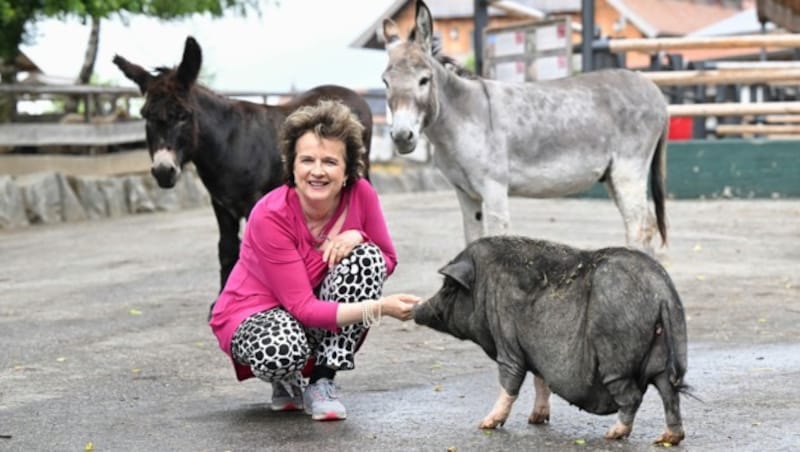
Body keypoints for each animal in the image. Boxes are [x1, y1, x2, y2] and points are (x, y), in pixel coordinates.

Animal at [412, 237, 688, 444]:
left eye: (448, 287)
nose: (417, 309)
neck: (484, 284)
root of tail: (662, 293)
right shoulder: (534, 352)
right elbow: (540, 380)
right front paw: (536, 420)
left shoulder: (507, 341)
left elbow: (510, 380)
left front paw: (484, 424)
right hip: (660, 356)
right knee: (670, 393)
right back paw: (667, 438)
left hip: (615, 358)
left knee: (633, 397)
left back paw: (612, 434)